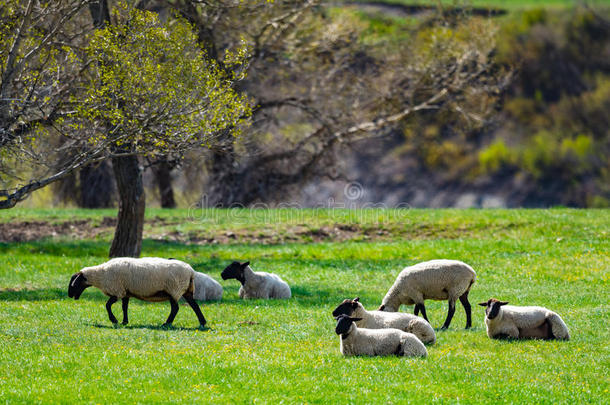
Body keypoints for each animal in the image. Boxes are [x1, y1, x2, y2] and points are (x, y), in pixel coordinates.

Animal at [67, 258, 207, 328]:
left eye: (75, 283)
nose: (69, 295)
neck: (100, 275)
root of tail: (191, 271)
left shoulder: (117, 291)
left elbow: (107, 305)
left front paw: (114, 320)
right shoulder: (125, 292)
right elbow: (124, 307)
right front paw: (124, 322)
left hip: (174, 289)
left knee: (175, 308)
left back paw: (166, 324)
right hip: (186, 290)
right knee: (195, 306)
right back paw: (202, 323)